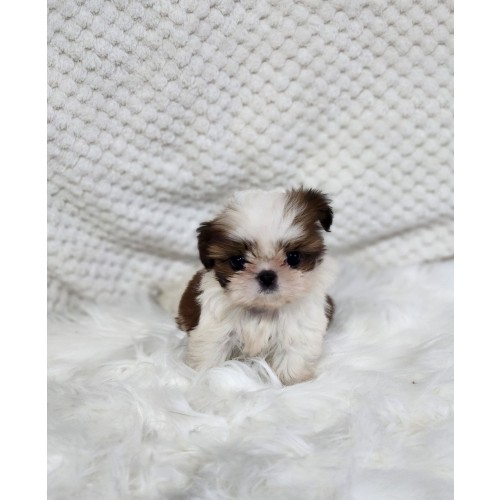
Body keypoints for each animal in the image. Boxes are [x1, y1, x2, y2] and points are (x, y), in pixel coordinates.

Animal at [176, 187, 337, 385]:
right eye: (237, 261)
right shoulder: (215, 332)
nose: (267, 276)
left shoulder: (299, 331)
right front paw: (207, 379)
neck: (262, 308)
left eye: (293, 257)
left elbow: (294, 358)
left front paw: (293, 382)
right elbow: (209, 356)